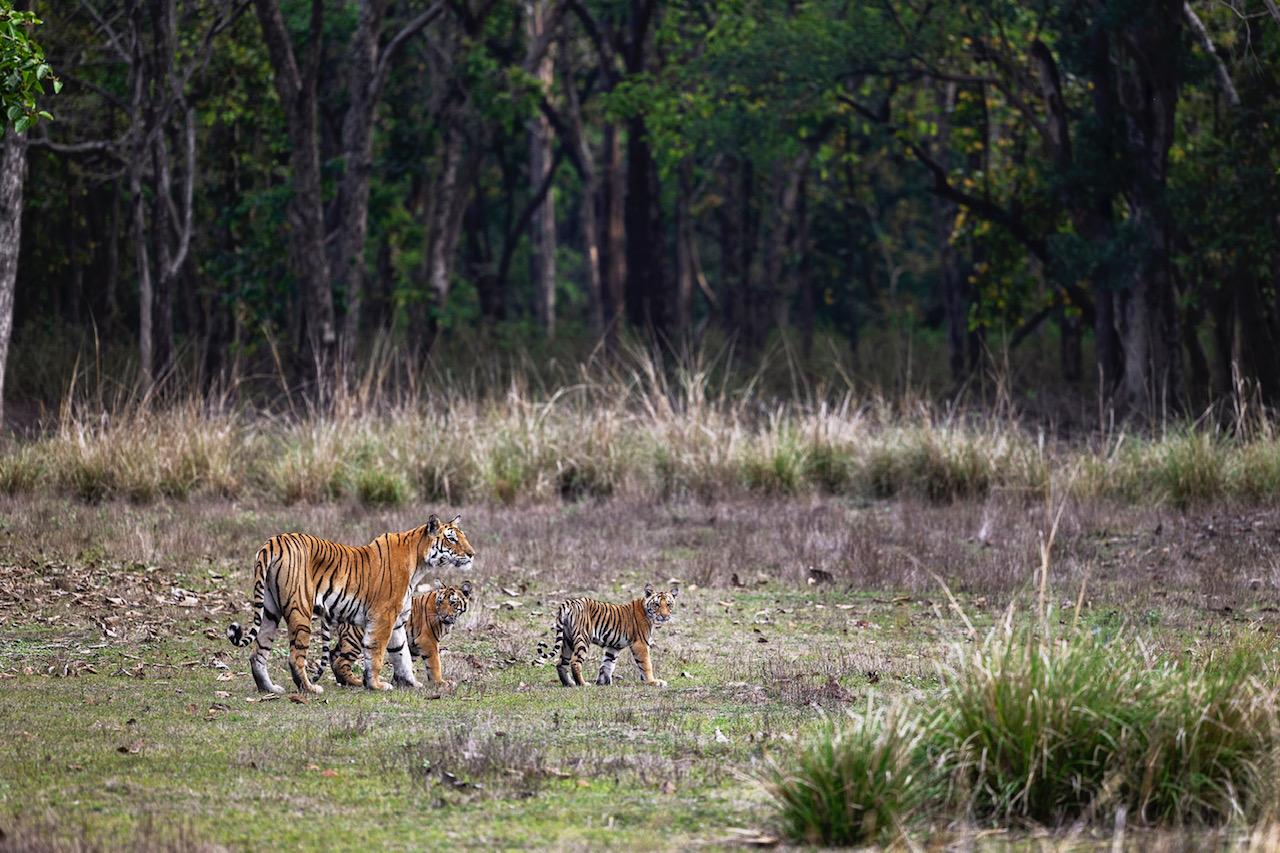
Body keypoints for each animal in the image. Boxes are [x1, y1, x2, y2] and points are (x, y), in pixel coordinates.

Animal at [313, 579, 473, 688]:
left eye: (453, 603)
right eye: (440, 602)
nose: (444, 616)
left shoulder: (413, 644)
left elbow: (404, 661)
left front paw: (401, 682)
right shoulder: (428, 641)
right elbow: (434, 664)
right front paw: (440, 682)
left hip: (345, 639)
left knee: (333, 655)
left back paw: (344, 682)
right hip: (354, 639)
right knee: (341, 662)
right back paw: (356, 682)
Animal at [535, 584, 679, 687]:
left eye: (669, 604)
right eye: (657, 604)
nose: (664, 616)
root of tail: (570, 602)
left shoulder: (613, 647)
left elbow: (607, 664)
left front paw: (603, 682)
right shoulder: (641, 643)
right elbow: (646, 664)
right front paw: (653, 682)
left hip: (567, 640)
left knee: (560, 663)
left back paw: (569, 683)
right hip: (582, 638)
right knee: (575, 662)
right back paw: (583, 684)